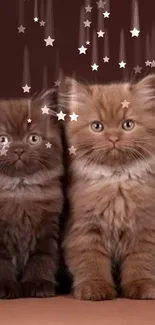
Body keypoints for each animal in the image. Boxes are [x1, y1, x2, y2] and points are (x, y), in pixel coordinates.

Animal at [0, 90, 63, 296]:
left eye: (33, 139)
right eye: (2, 139)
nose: (19, 150)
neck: (20, 189)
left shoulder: (48, 226)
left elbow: (42, 257)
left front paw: (39, 283)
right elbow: (2, 260)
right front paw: (5, 286)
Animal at [59, 74, 155, 300]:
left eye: (128, 125)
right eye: (97, 126)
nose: (113, 138)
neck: (116, 182)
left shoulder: (145, 228)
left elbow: (141, 262)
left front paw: (142, 286)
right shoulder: (84, 230)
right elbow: (92, 264)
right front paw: (95, 288)